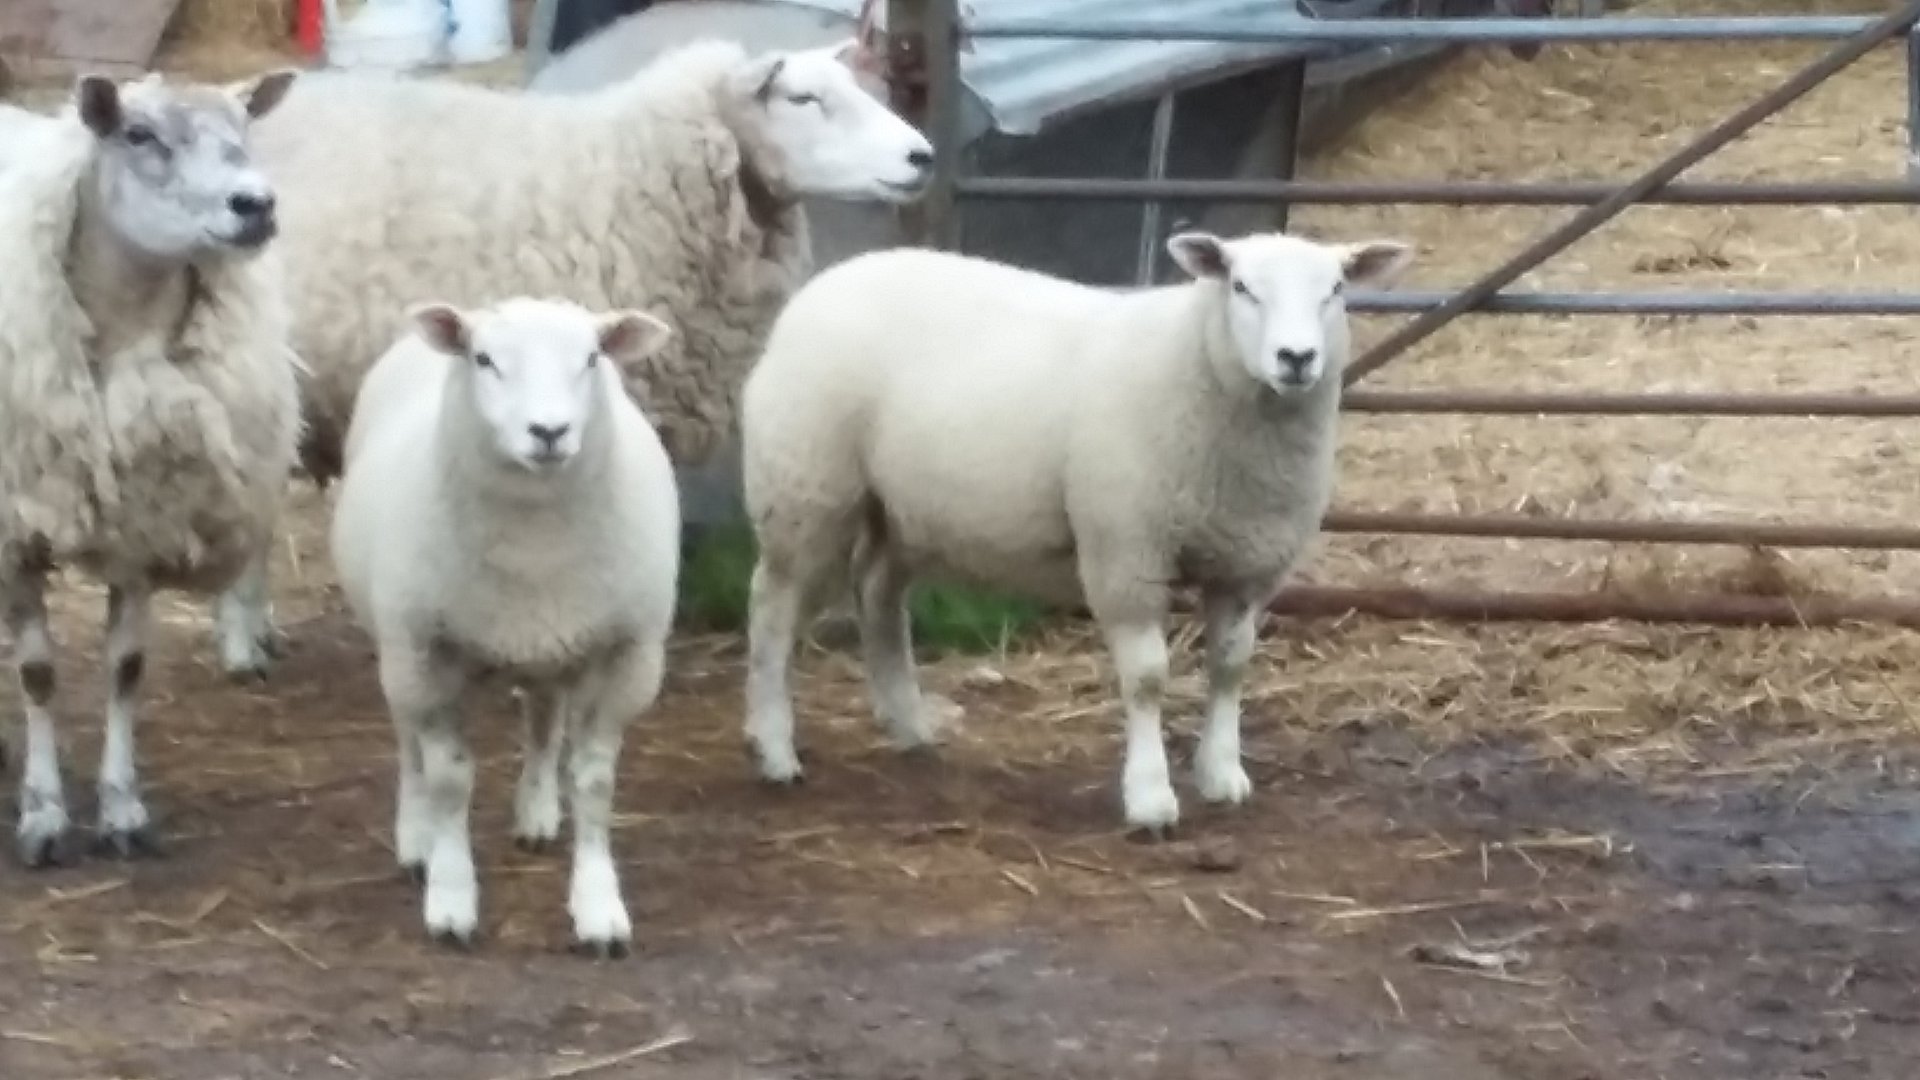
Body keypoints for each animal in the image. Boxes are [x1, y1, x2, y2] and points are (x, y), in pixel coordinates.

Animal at [0, 68, 303, 866]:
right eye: (138, 135)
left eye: (244, 128)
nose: (256, 205)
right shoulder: (15, 533)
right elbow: (37, 674)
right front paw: (43, 815)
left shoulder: (145, 515)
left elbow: (126, 668)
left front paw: (122, 809)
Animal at [329, 296, 680, 955]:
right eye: (484, 359)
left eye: (591, 358)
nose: (549, 432)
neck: (534, 547)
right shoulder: (426, 651)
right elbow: (449, 780)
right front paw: (450, 899)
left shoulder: (628, 656)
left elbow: (593, 784)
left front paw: (599, 907)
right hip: (397, 645)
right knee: (408, 743)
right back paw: (414, 835)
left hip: (549, 643)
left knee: (542, 722)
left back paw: (537, 813)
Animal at [737, 229, 1414, 834]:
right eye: (1241, 286)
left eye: (1335, 289)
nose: (1296, 359)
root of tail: (830, 279)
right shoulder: (1126, 552)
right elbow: (1147, 678)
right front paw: (1150, 798)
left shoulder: (1248, 563)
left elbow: (1230, 666)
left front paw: (1222, 775)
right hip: (806, 485)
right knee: (772, 607)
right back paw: (775, 749)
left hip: (902, 504)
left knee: (878, 592)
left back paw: (909, 725)